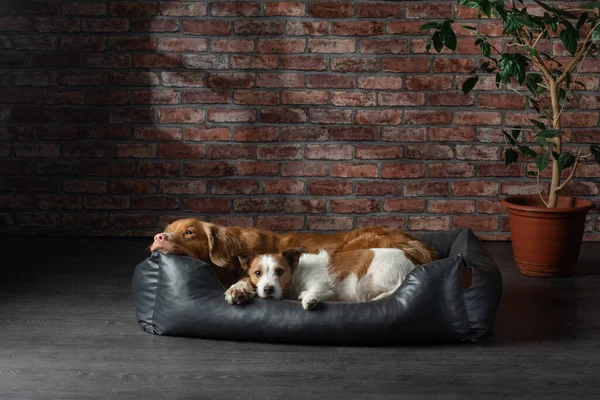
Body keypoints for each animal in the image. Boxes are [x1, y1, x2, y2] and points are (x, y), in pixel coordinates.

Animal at [234, 247, 418, 310]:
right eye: (257, 273)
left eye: (280, 272)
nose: (268, 289)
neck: (296, 274)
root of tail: (411, 264)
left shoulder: (323, 286)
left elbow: (314, 291)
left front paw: (309, 299)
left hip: (369, 281)